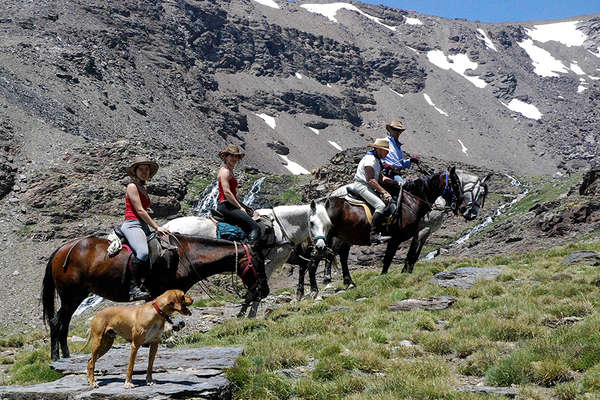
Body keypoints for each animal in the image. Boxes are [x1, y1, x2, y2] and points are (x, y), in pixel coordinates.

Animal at [40, 236, 268, 360]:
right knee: (56, 321)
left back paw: (66, 354)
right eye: (258, 262)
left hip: (75, 297)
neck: (184, 256)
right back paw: (55, 356)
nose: (264, 290)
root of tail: (62, 250)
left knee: (64, 322)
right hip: (71, 295)